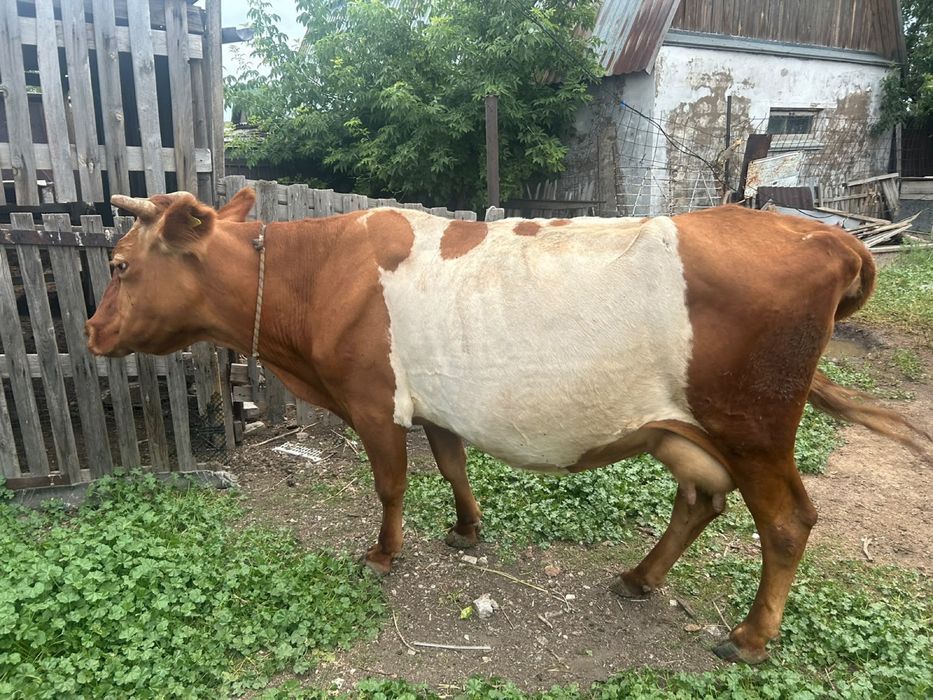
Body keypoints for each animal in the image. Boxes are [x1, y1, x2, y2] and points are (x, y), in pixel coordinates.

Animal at [86, 189, 931, 665]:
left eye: (121, 264)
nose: (92, 331)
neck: (317, 272)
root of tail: (821, 234)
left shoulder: (372, 400)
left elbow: (390, 485)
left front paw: (383, 554)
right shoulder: (439, 403)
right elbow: (452, 466)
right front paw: (466, 529)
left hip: (752, 424)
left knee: (785, 521)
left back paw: (750, 638)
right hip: (683, 428)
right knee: (701, 499)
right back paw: (638, 577)